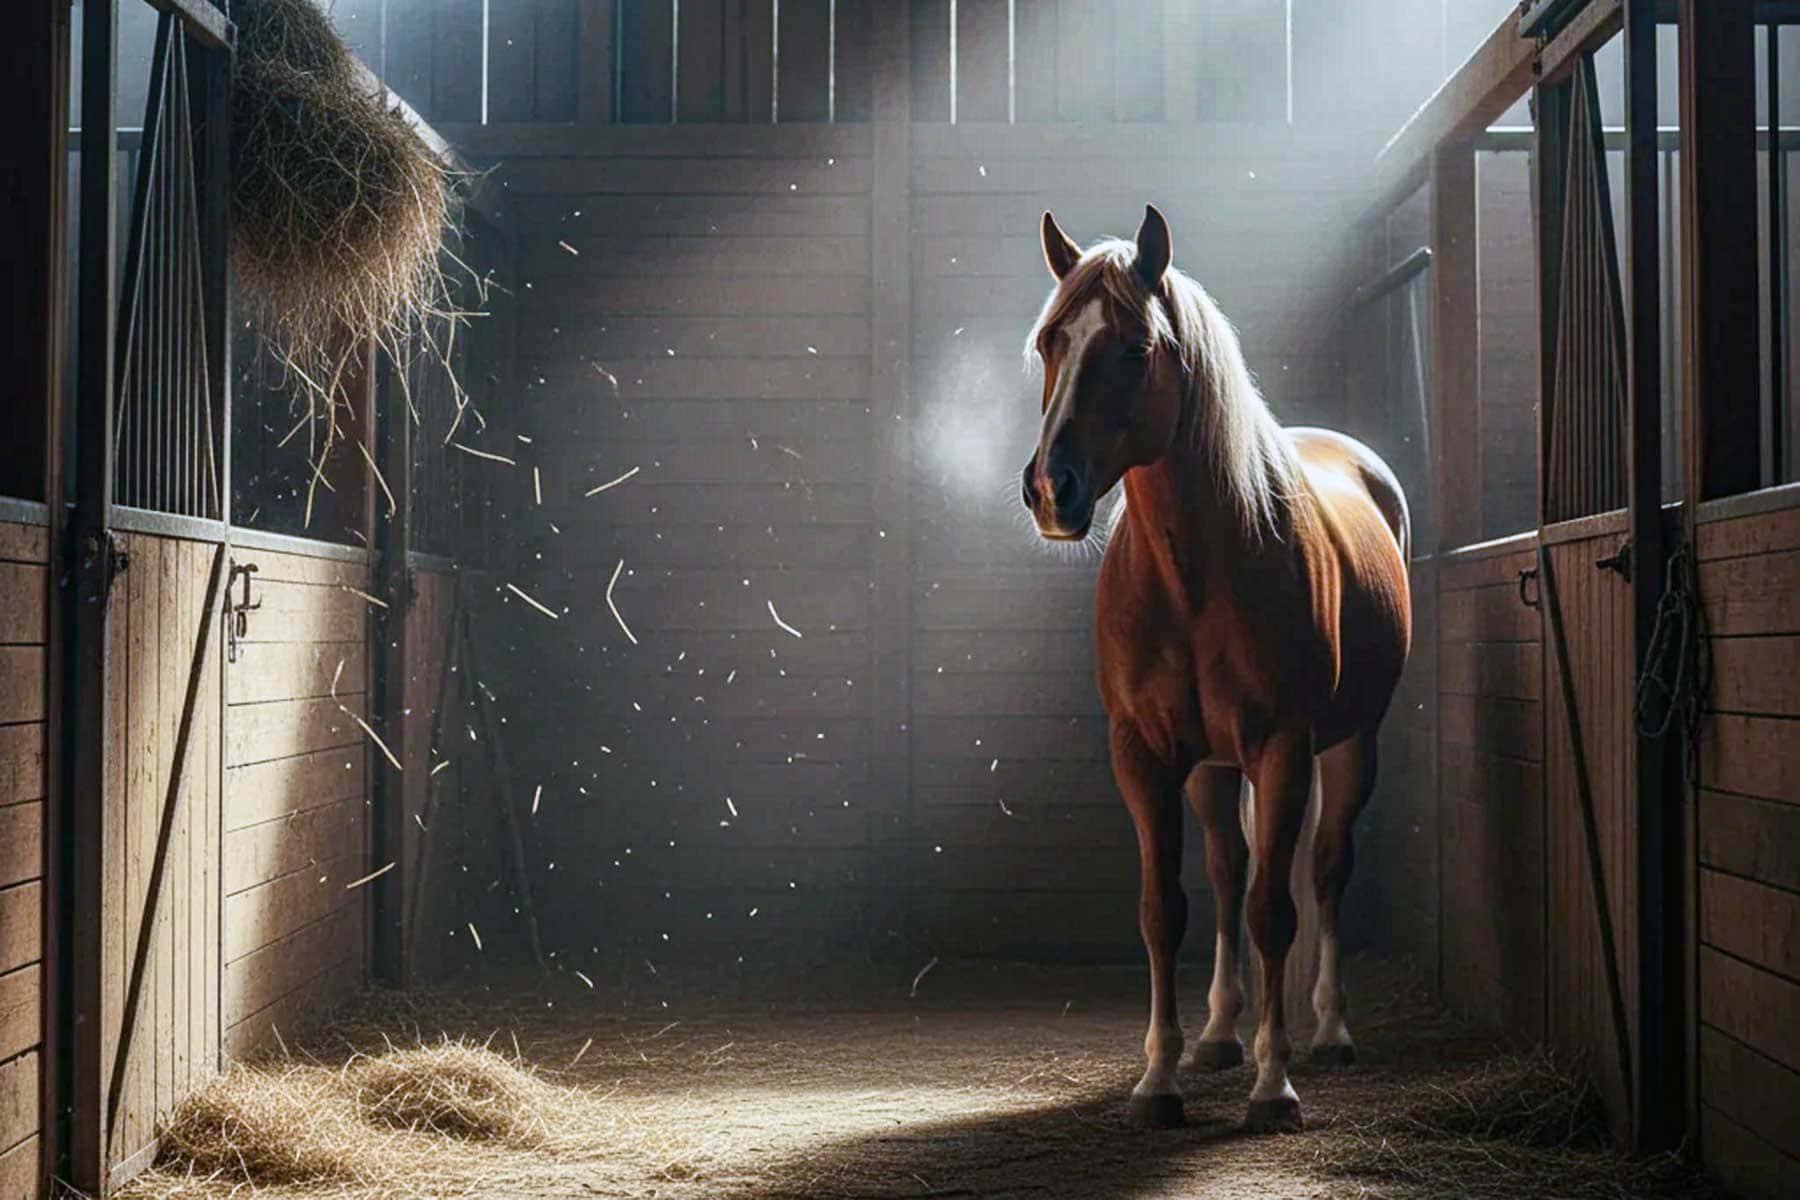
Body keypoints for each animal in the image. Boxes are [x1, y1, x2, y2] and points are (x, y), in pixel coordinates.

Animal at [1020, 206, 1412, 1132]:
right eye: (1051, 341)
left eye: (1134, 347)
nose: (1052, 490)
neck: (1194, 574)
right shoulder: (1144, 755)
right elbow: (1167, 910)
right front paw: (1160, 1079)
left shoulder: (1284, 748)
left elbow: (1277, 909)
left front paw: (1275, 1087)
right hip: (1208, 766)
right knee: (1230, 874)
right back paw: (1220, 1035)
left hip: (1351, 747)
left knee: (1324, 869)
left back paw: (1328, 1032)